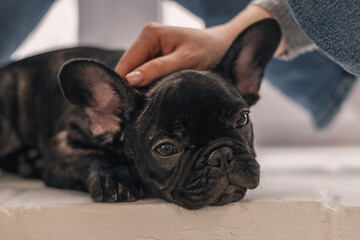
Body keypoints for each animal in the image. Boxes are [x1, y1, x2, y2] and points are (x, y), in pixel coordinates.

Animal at [0, 19, 282, 210]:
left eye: (242, 119)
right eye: (166, 149)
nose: (221, 155)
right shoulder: (63, 142)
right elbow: (90, 156)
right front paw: (114, 177)